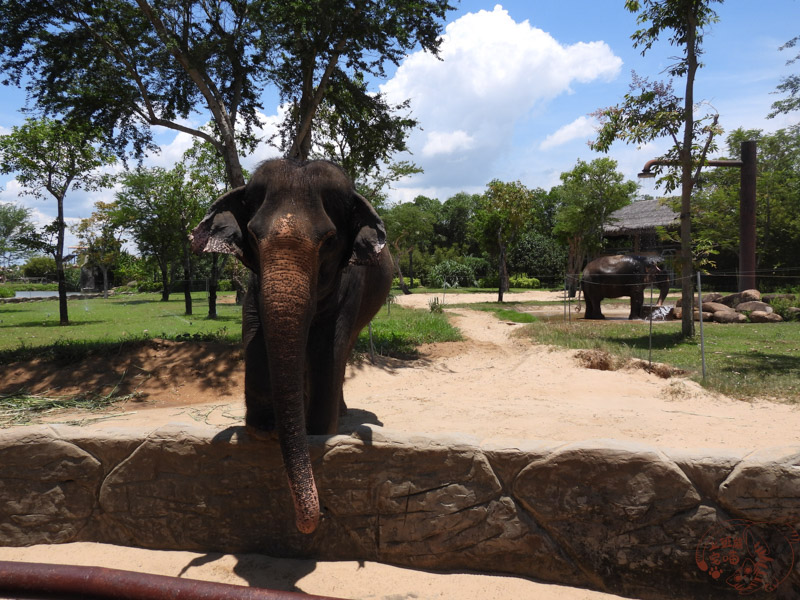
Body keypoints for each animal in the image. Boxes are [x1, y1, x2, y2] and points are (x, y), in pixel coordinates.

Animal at [191, 157, 396, 532]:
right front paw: (264, 428)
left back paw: (340, 413)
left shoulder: (351, 282)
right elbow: (255, 332)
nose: (311, 521)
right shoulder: (254, 284)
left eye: (329, 239)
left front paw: (317, 430)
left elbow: (328, 346)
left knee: (344, 349)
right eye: (253, 236)